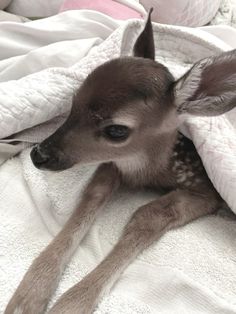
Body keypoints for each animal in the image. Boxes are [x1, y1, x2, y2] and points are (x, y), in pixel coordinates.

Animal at [5, 9, 236, 314]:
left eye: (116, 130)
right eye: (73, 102)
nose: (39, 154)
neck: (150, 170)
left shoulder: (207, 190)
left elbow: (148, 215)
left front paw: (71, 304)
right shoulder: (114, 165)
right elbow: (94, 192)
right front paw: (28, 295)